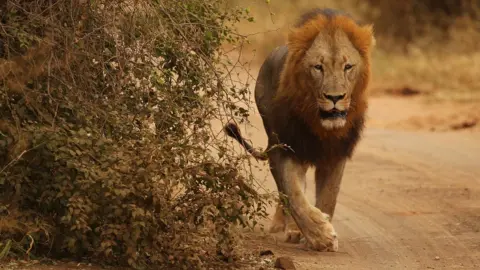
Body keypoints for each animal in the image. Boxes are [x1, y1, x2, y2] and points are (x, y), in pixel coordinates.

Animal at [224, 8, 376, 253]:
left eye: (348, 67)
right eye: (318, 67)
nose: (335, 97)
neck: (320, 126)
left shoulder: (336, 154)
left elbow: (329, 196)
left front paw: (321, 234)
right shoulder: (286, 149)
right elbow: (292, 193)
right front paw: (321, 235)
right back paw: (287, 227)